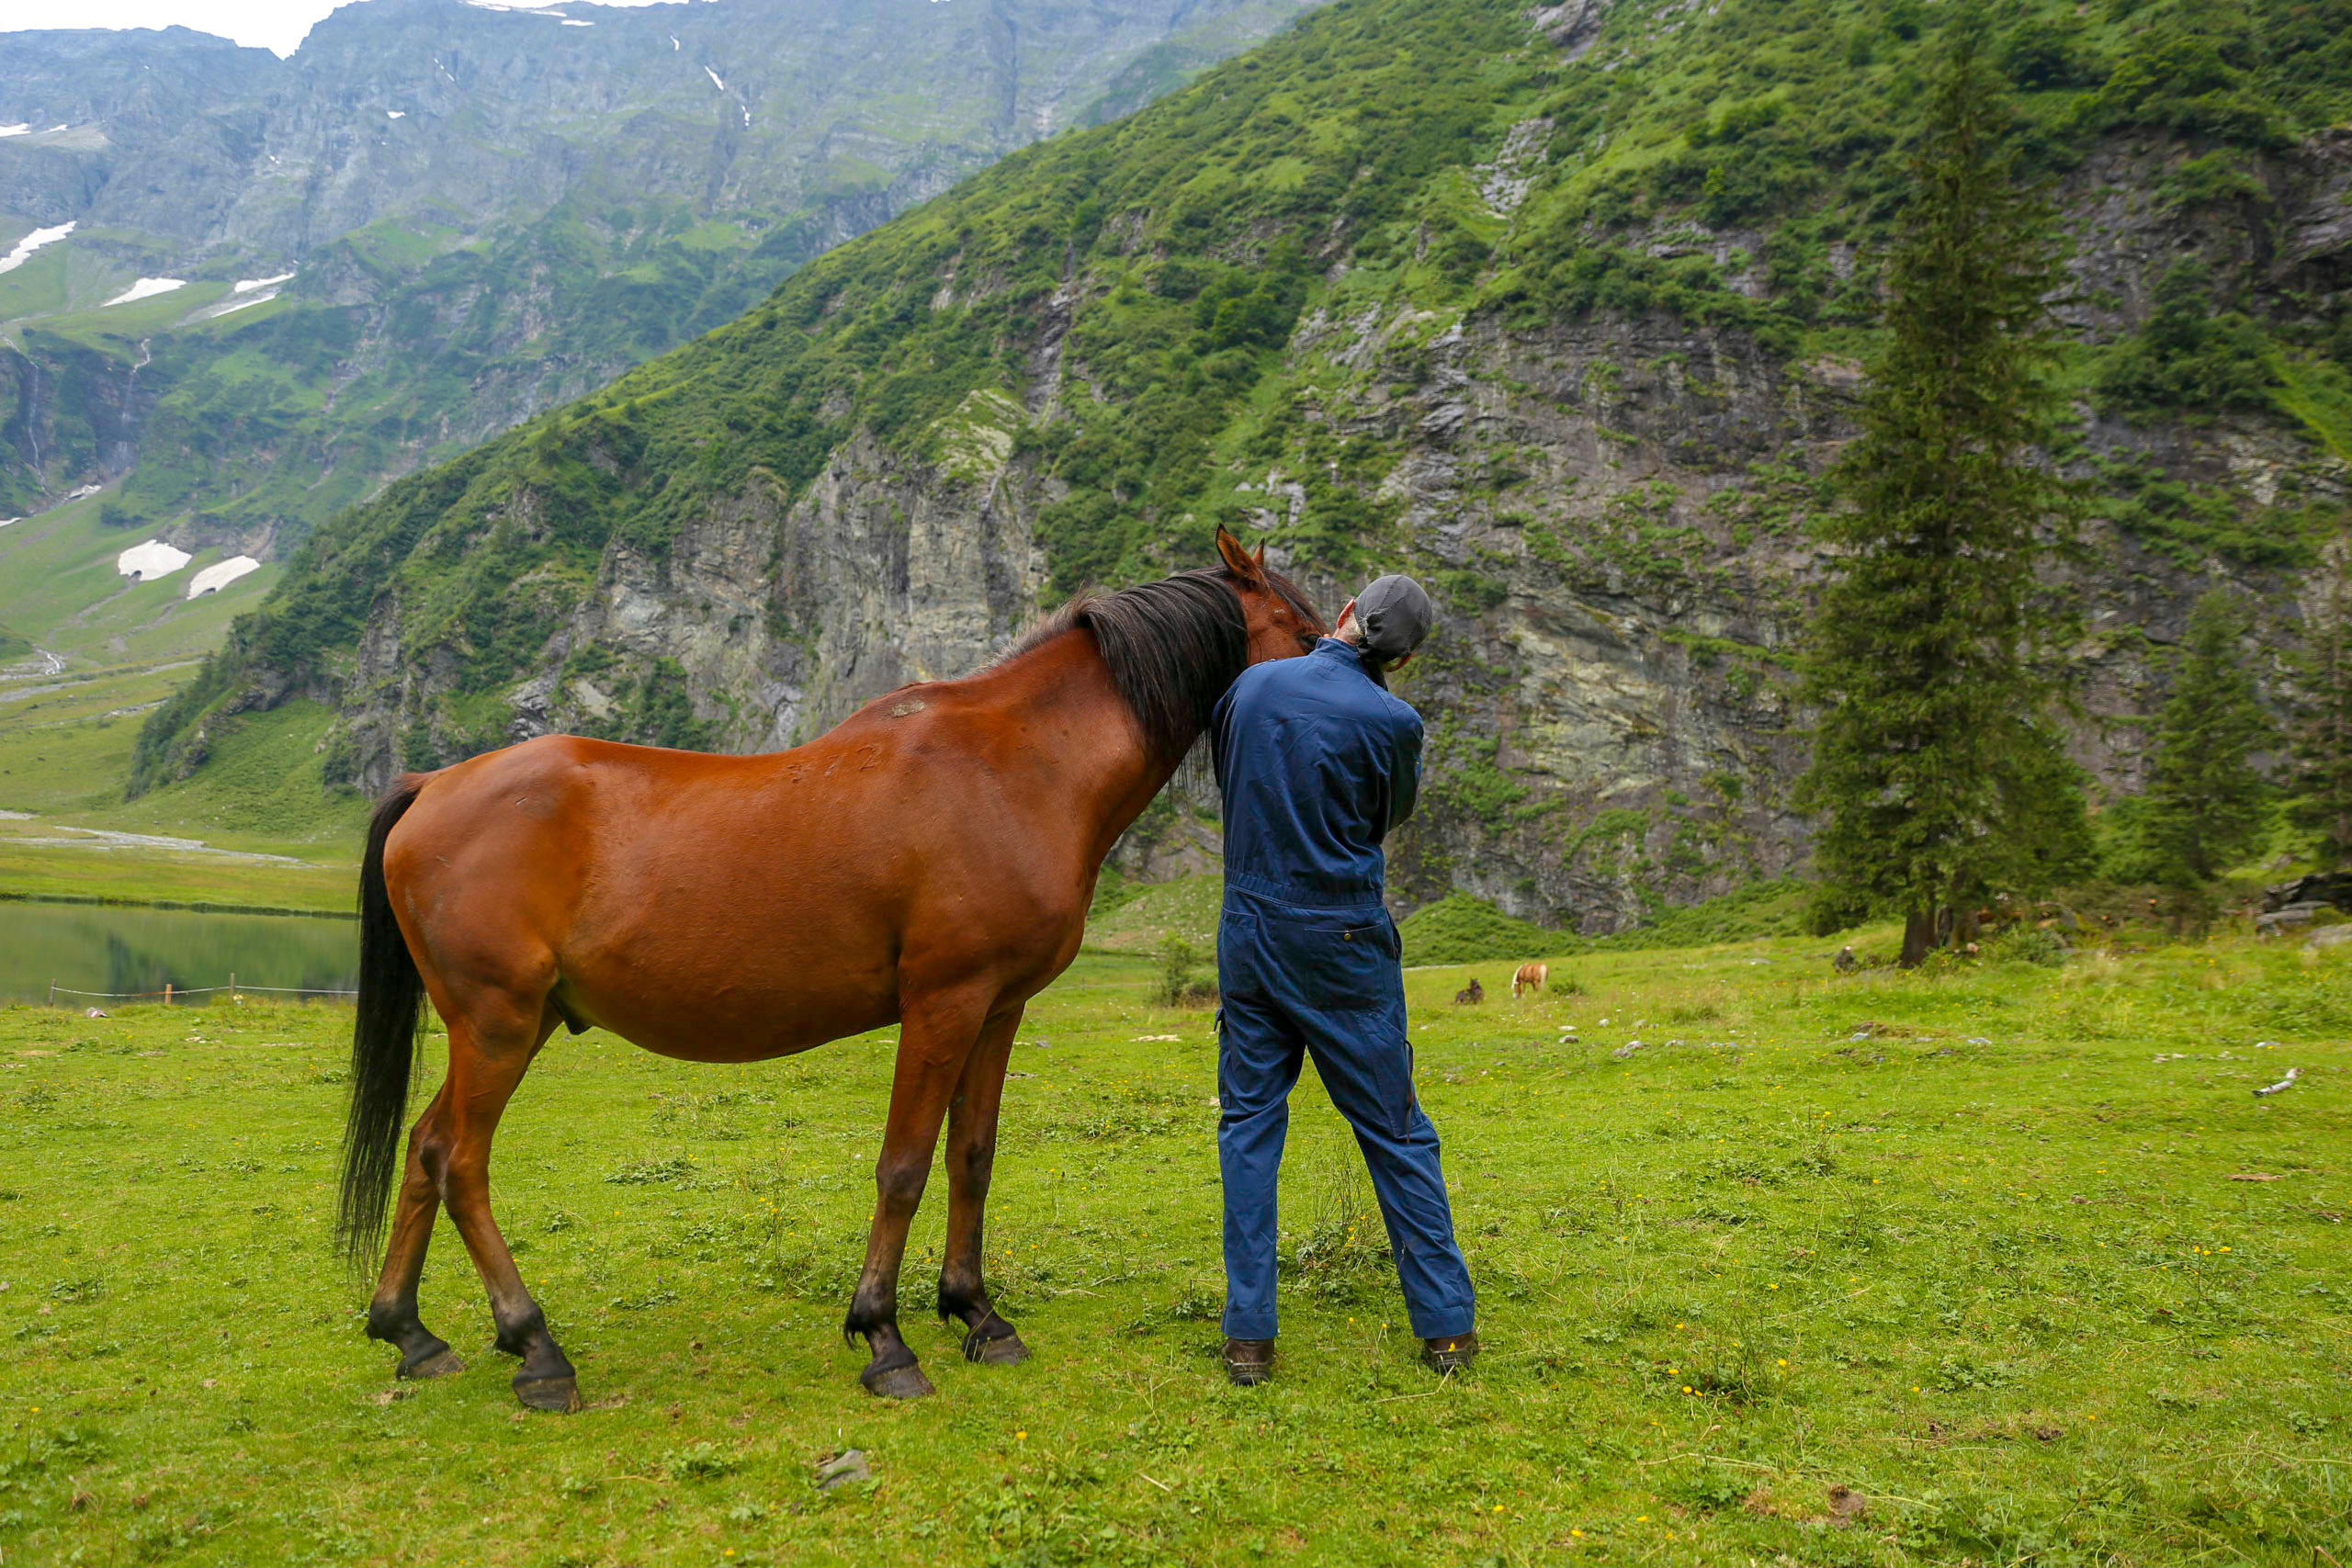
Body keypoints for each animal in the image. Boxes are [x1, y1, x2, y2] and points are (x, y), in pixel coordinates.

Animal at [338, 531, 1326, 1410]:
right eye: (1305, 630)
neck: (1015, 768)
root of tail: (432, 785)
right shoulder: (942, 1003)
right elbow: (904, 1165)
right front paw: (884, 1336)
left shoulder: (997, 1009)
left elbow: (972, 1156)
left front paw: (977, 1314)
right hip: (496, 1025)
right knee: (459, 1160)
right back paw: (536, 1348)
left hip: (516, 1023)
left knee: (424, 1149)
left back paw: (410, 1332)